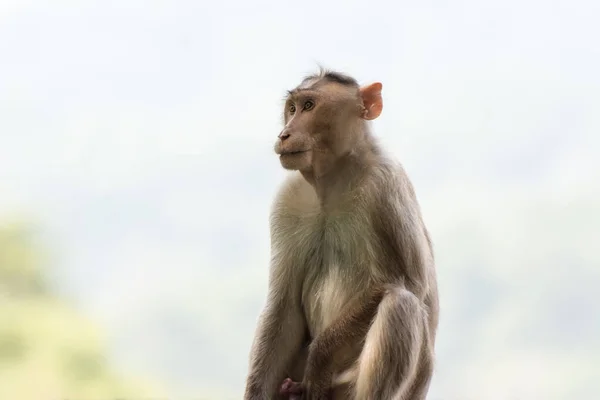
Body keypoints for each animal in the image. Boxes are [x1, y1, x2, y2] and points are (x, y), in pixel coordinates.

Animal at [245, 69, 440, 400]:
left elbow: (411, 283)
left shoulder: (386, 185)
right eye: (292, 108)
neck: (333, 181)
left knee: (401, 304)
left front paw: (319, 361)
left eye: (309, 106)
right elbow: (283, 307)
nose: (284, 134)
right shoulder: (288, 200)